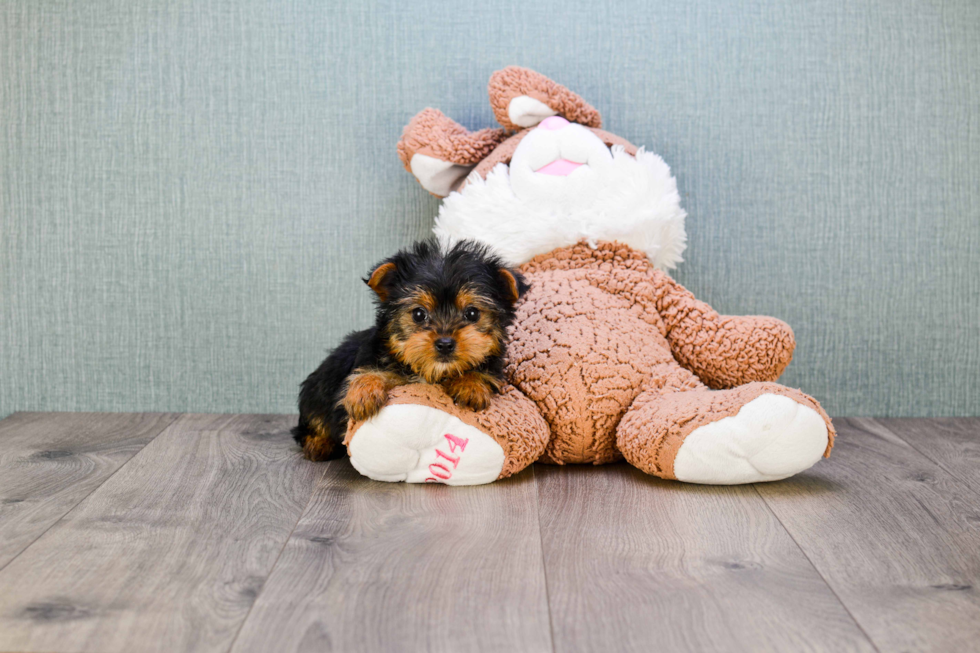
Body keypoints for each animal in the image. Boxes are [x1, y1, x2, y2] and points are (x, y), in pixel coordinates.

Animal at [292, 238, 528, 458]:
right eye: (418, 314)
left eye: (472, 313)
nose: (445, 343)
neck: (433, 373)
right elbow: (368, 372)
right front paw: (363, 393)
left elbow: (483, 373)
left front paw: (470, 386)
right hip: (317, 391)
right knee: (310, 423)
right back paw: (318, 444)